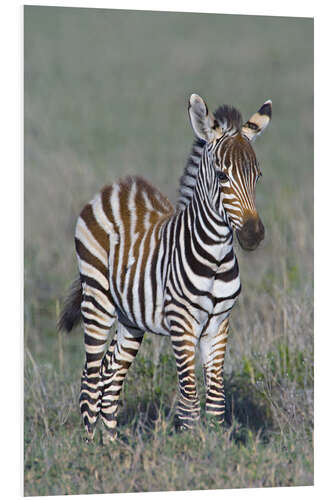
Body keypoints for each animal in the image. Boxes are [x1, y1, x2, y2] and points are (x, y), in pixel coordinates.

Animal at [59, 92, 272, 440]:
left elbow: (216, 399)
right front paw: (192, 445)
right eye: (222, 176)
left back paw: (111, 444)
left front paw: (215, 446)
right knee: (90, 377)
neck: (215, 256)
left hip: (131, 318)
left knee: (110, 374)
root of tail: (116, 187)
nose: (253, 235)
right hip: (97, 299)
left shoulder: (219, 324)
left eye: (258, 176)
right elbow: (189, 399)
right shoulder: (182, 323)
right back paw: (90, 445)